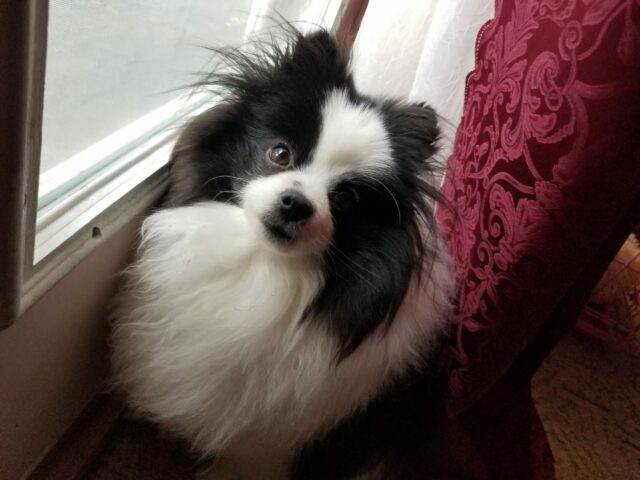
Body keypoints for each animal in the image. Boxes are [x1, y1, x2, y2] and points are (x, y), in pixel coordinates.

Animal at [110, 27, 452, 480]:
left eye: (345, 199)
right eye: (280, 153)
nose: (296, 204)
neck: (261, 265)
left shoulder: (271, 442)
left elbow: (244, 459)